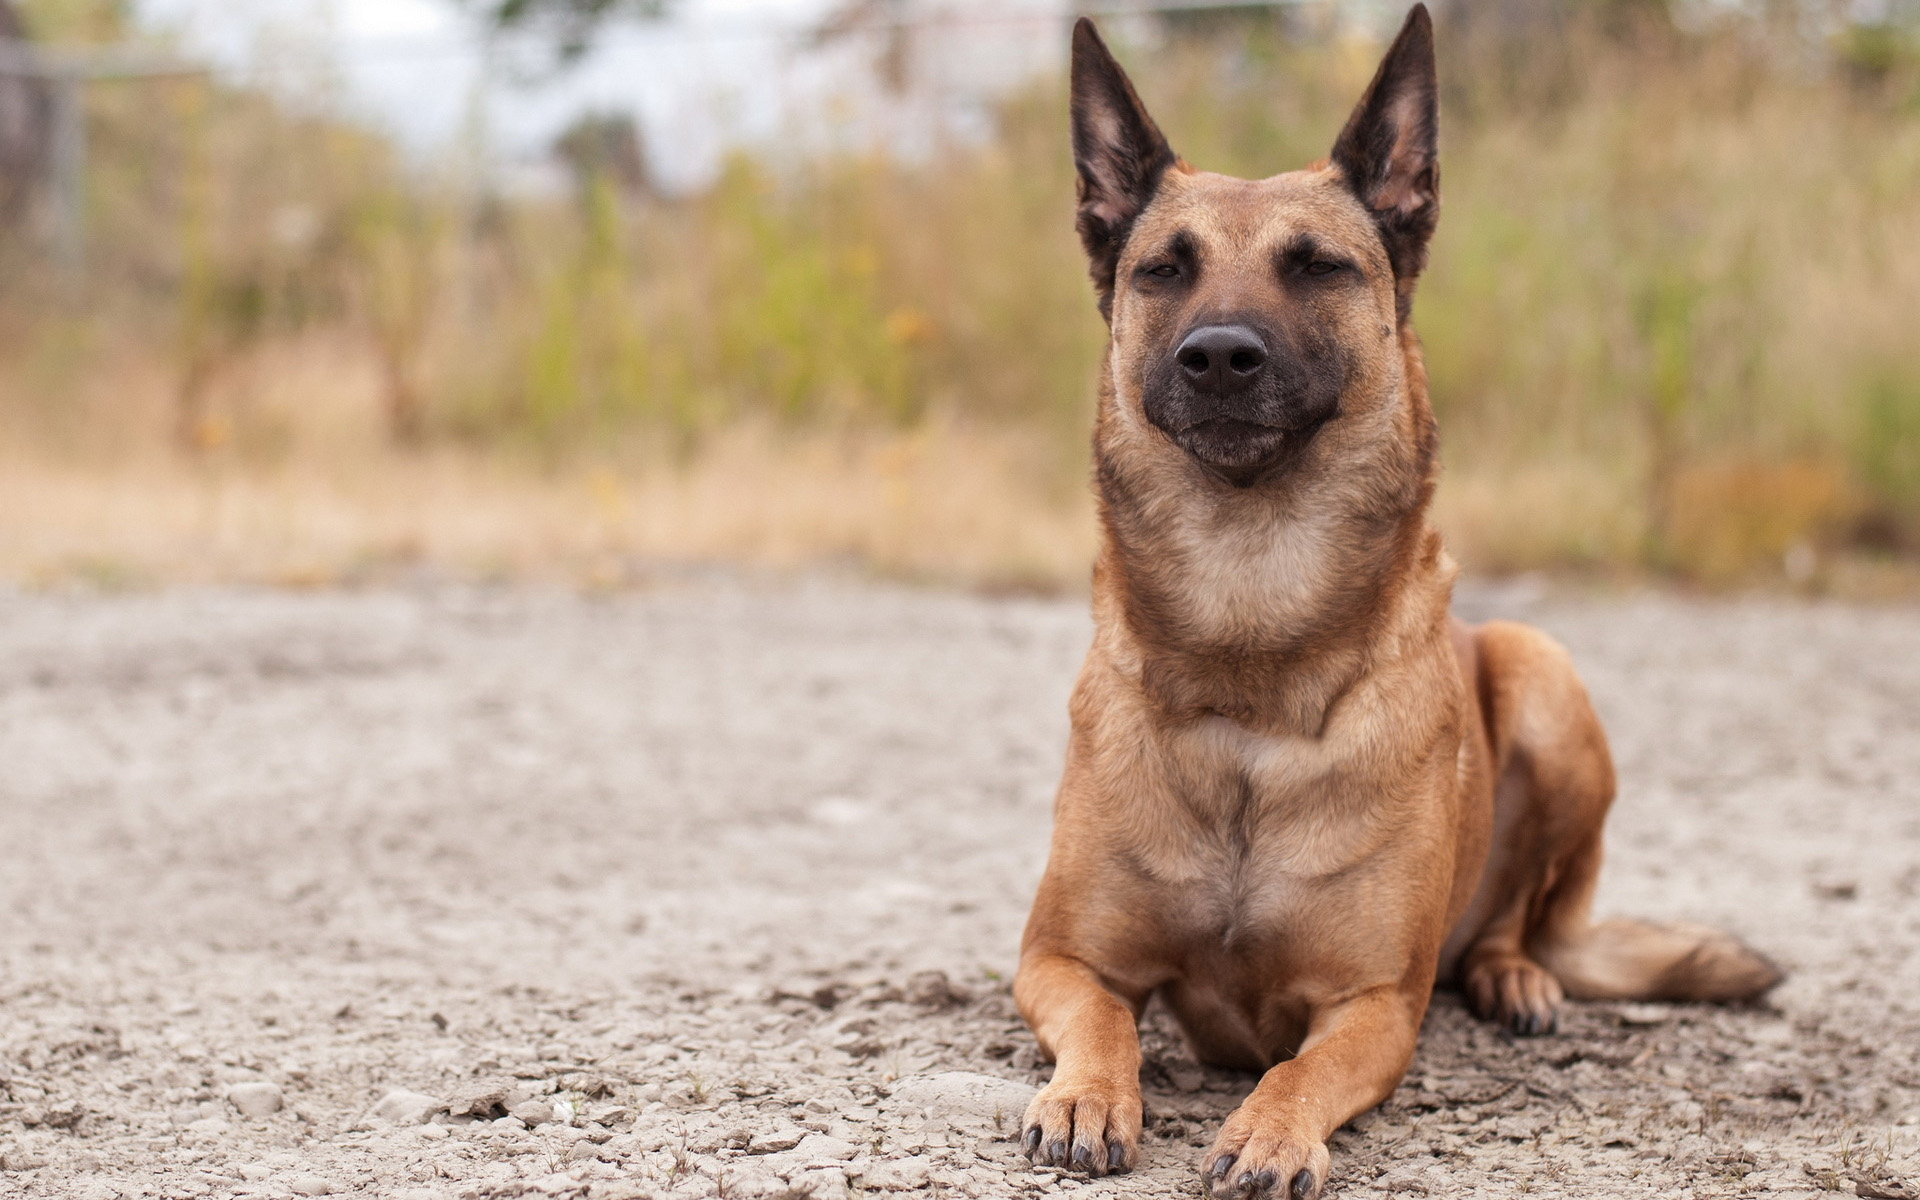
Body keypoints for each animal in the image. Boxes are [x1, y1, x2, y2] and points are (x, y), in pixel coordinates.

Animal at [1013, 4, 1774, 1190]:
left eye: (1317, 265)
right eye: (1164, 269)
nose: (1218, 355)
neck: (1250, 652)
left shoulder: (1374, 1007)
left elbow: (1300, 1070)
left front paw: (1270, 1133)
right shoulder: (1055, 957)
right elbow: (1106, 1020)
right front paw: (1086, 1096)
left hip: (1543, 674)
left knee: (1523, 918)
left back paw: (1515, 978)